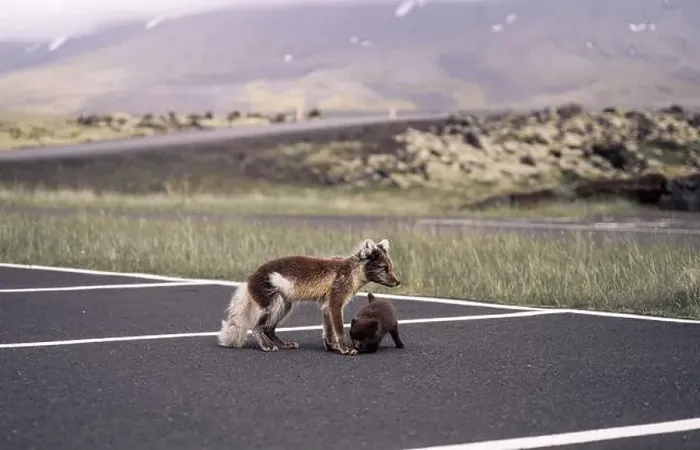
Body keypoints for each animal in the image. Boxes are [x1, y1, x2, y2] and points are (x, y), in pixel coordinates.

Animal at [217, 238, 400, 356]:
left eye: (391, 267)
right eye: (383, 268)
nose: (398, 282)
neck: (352, 272)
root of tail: (249, 278)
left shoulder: (326, 304)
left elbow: (328, 331)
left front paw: (332, 347)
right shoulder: (335, 302)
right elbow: (339, 330)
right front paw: (345, 349)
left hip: (285, 306)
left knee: (269, 328)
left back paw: (283, 344)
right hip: (271, 303)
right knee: (257, 327)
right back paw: (267, 346)